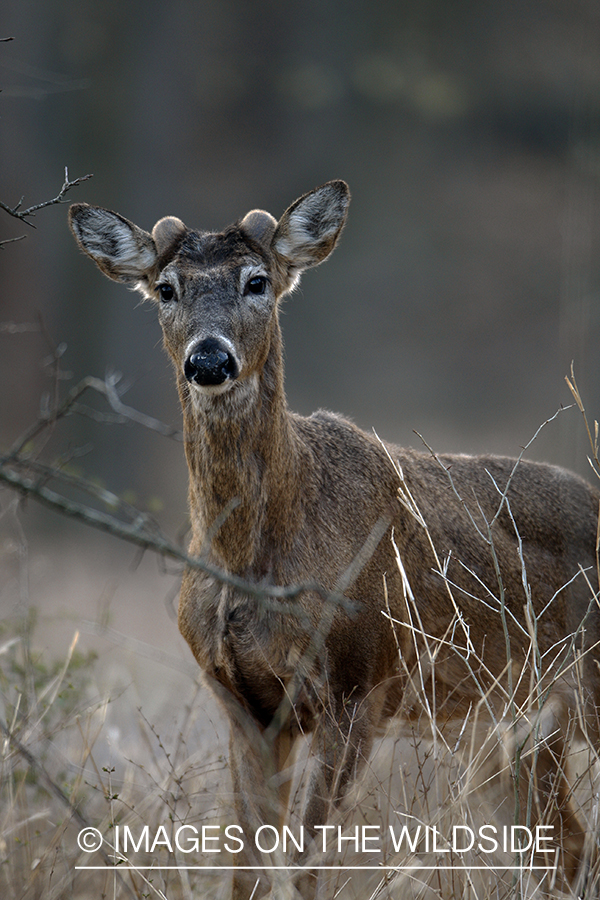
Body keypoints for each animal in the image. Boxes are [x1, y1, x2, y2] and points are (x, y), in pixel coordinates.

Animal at [70, 185, 600, 900]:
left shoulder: (357, 684)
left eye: (258, 281)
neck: (255, 562)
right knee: (563, 843)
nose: (208, 359)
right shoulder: (242, 704)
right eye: (166, 288)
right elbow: (247, 869)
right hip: (502, 725)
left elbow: (306, 864)